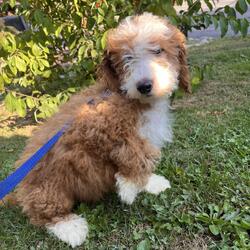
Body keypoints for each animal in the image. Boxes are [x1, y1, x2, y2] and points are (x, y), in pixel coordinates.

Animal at [10, 12, 189, 247]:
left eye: (158, 51)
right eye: (127, 58)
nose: (143, 86)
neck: (131, 98)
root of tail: (19, 190)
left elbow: (143, 158)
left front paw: (150, 183)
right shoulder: (94, 126)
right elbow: (133, 151)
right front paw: (128, 187)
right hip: (48, 187)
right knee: (43, 213)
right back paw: (71, 228)